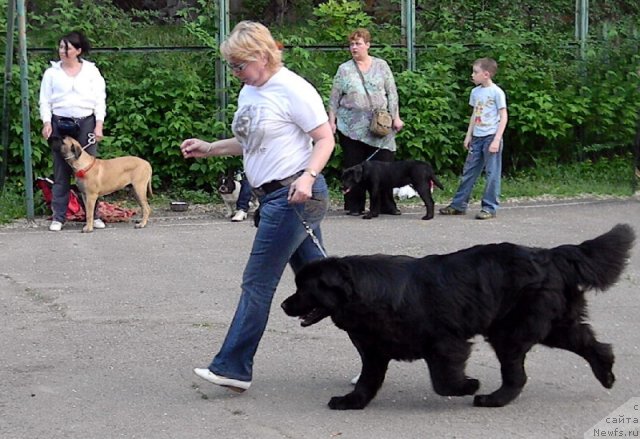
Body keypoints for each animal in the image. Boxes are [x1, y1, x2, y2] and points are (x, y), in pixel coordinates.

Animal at [282, 225, 636, 410]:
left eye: (304, 289)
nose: (284, 305)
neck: (366, 294)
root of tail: (550, 254)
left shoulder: (444, 344)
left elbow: (442, 382)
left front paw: (468, 384)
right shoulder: (374, 350)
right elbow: (368, 381)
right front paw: (351, 401)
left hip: (509, 331)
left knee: (517, 375)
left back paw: (491, 398)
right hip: (553, 324)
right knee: (592, 344)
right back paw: (606, 374)